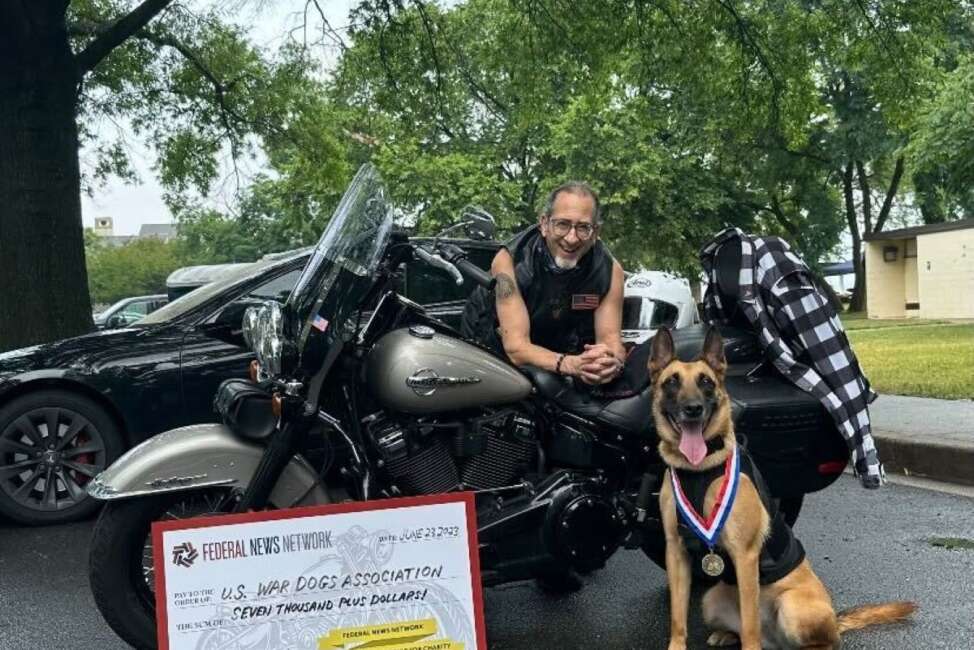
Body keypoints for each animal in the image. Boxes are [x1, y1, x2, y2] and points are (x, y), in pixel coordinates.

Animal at [652, 326, 920, 644]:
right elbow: (677, 619)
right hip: (710, 599)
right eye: (671, 382)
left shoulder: (744, 556)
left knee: (822, 641)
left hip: (792, 606)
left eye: (706, 382)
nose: (692, 409)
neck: (699, 469)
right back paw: (725, 635)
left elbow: (750, 627)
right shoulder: (676, 553)